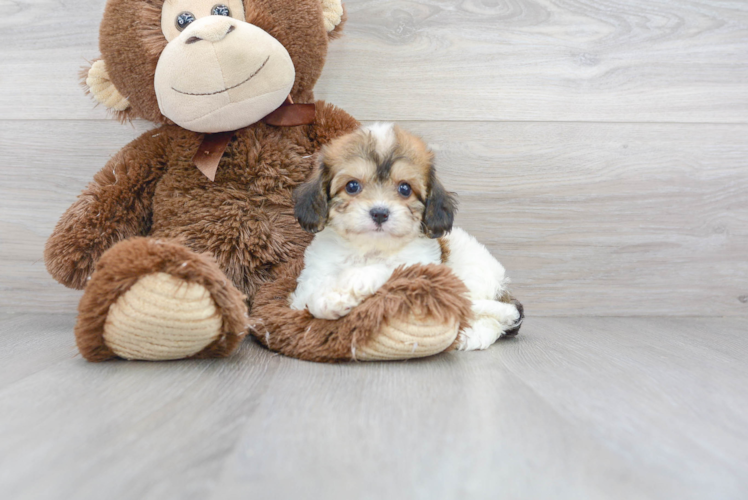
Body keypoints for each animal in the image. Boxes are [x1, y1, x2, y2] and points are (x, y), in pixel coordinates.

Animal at [290, 124, 524, 352]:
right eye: (352, 186)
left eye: (405, 189)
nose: (380, 213)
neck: (370, 248)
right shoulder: (312, 277)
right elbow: (307, 296)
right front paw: (328, 299)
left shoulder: (420, 269)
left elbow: (381, 270)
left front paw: (340, 291)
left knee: (496, 316)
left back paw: (472, 335)